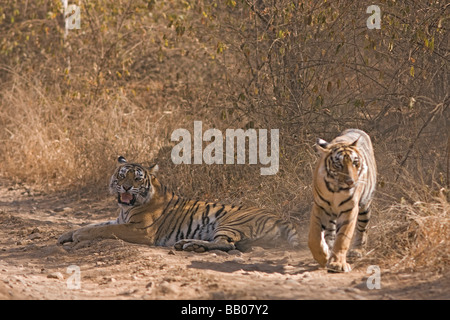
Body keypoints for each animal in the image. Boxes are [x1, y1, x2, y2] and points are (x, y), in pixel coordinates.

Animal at [58, 156, 300, 252]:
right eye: (122, 175)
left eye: (137, 179)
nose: (126, 188)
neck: (127, 208)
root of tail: (281, 218)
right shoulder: (120, 219)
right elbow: (96, 224)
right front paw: (66, 235)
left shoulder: (139, 230)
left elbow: (103, 230)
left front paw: (78, 235)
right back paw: (190, 244)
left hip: (230, 222)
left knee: (227, 245)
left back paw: (189, 244)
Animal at [308, 129, 378, 272]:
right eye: (338, 165)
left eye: (355, 163)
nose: (351, 181)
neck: (335, 188)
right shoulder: (320, 206)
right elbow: (314, 237)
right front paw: (322, 257)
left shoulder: (349, 209)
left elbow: (342, 238)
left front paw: (337, 264)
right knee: (330, 232)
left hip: (365, 206)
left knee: (362, 228)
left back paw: (357, 250)